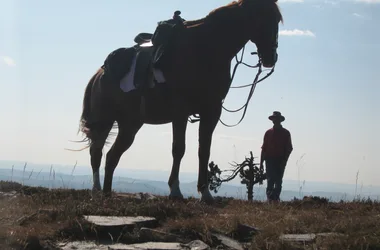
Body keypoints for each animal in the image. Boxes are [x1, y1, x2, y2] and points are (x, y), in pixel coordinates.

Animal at [77, 0, 282, 204]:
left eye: (276, 19)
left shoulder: (212, 111)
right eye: (263, 16)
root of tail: (99, 74)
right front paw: (175, 190)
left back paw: (106, 192)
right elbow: (179, 149)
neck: (206, 50)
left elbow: (204, 151)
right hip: (105, 121)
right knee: (97, 152)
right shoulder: (180, 111)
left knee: (111, 155)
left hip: (130, 124)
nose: (271, 58)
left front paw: (205, 193)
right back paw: (97, 190)